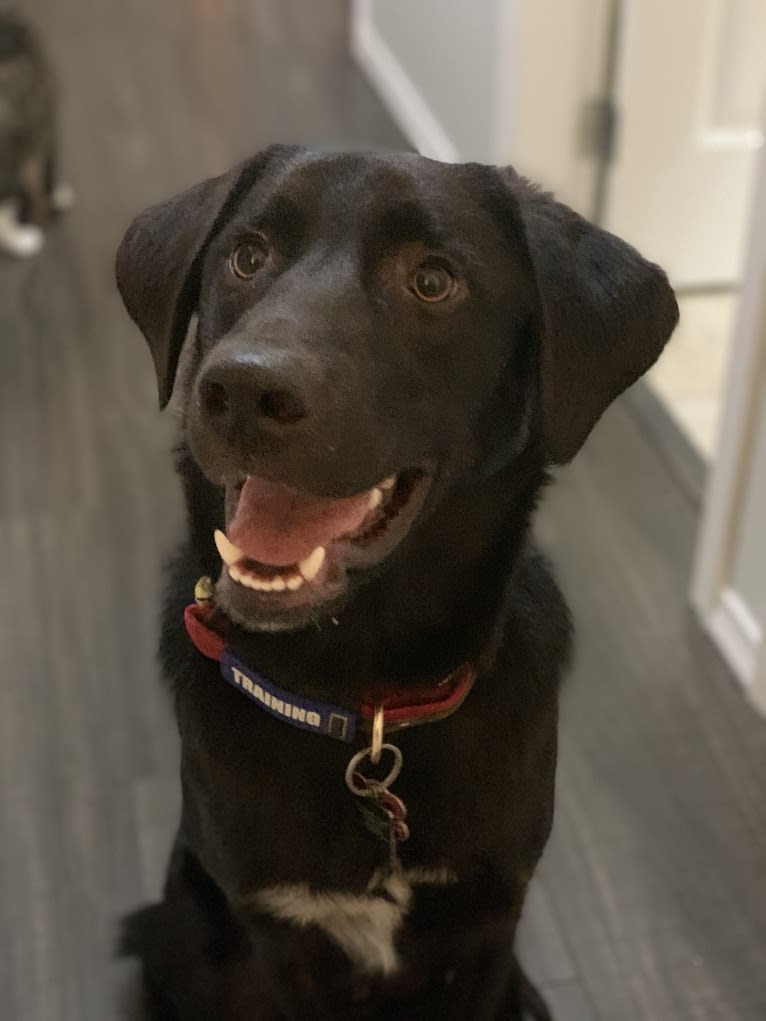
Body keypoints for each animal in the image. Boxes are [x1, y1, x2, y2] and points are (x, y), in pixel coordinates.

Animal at [115, 146, 678, 1021]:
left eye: (434, 280)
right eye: (247, 256)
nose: (243, 390)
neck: (365, 705)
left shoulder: (484, 925)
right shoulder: (280, 937)